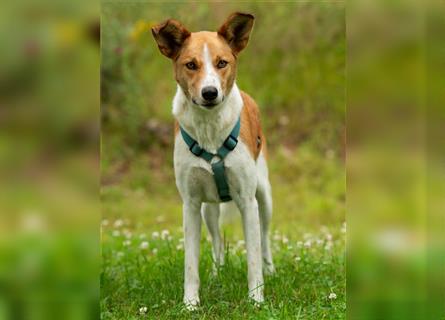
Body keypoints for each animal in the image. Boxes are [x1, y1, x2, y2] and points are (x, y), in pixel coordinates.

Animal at [151, 12, 272, 310]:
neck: (209, 129)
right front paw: (190, 303)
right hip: (208, 211)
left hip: (264, 197)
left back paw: (271, 269)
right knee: (217, 242)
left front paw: (256, 300)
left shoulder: (247, 202)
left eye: (222, 63)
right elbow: (191, 264)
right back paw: (219, 274)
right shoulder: (191, 205)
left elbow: (253, 258)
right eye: (191, 65)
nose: (209, 93)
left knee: (264, 238)